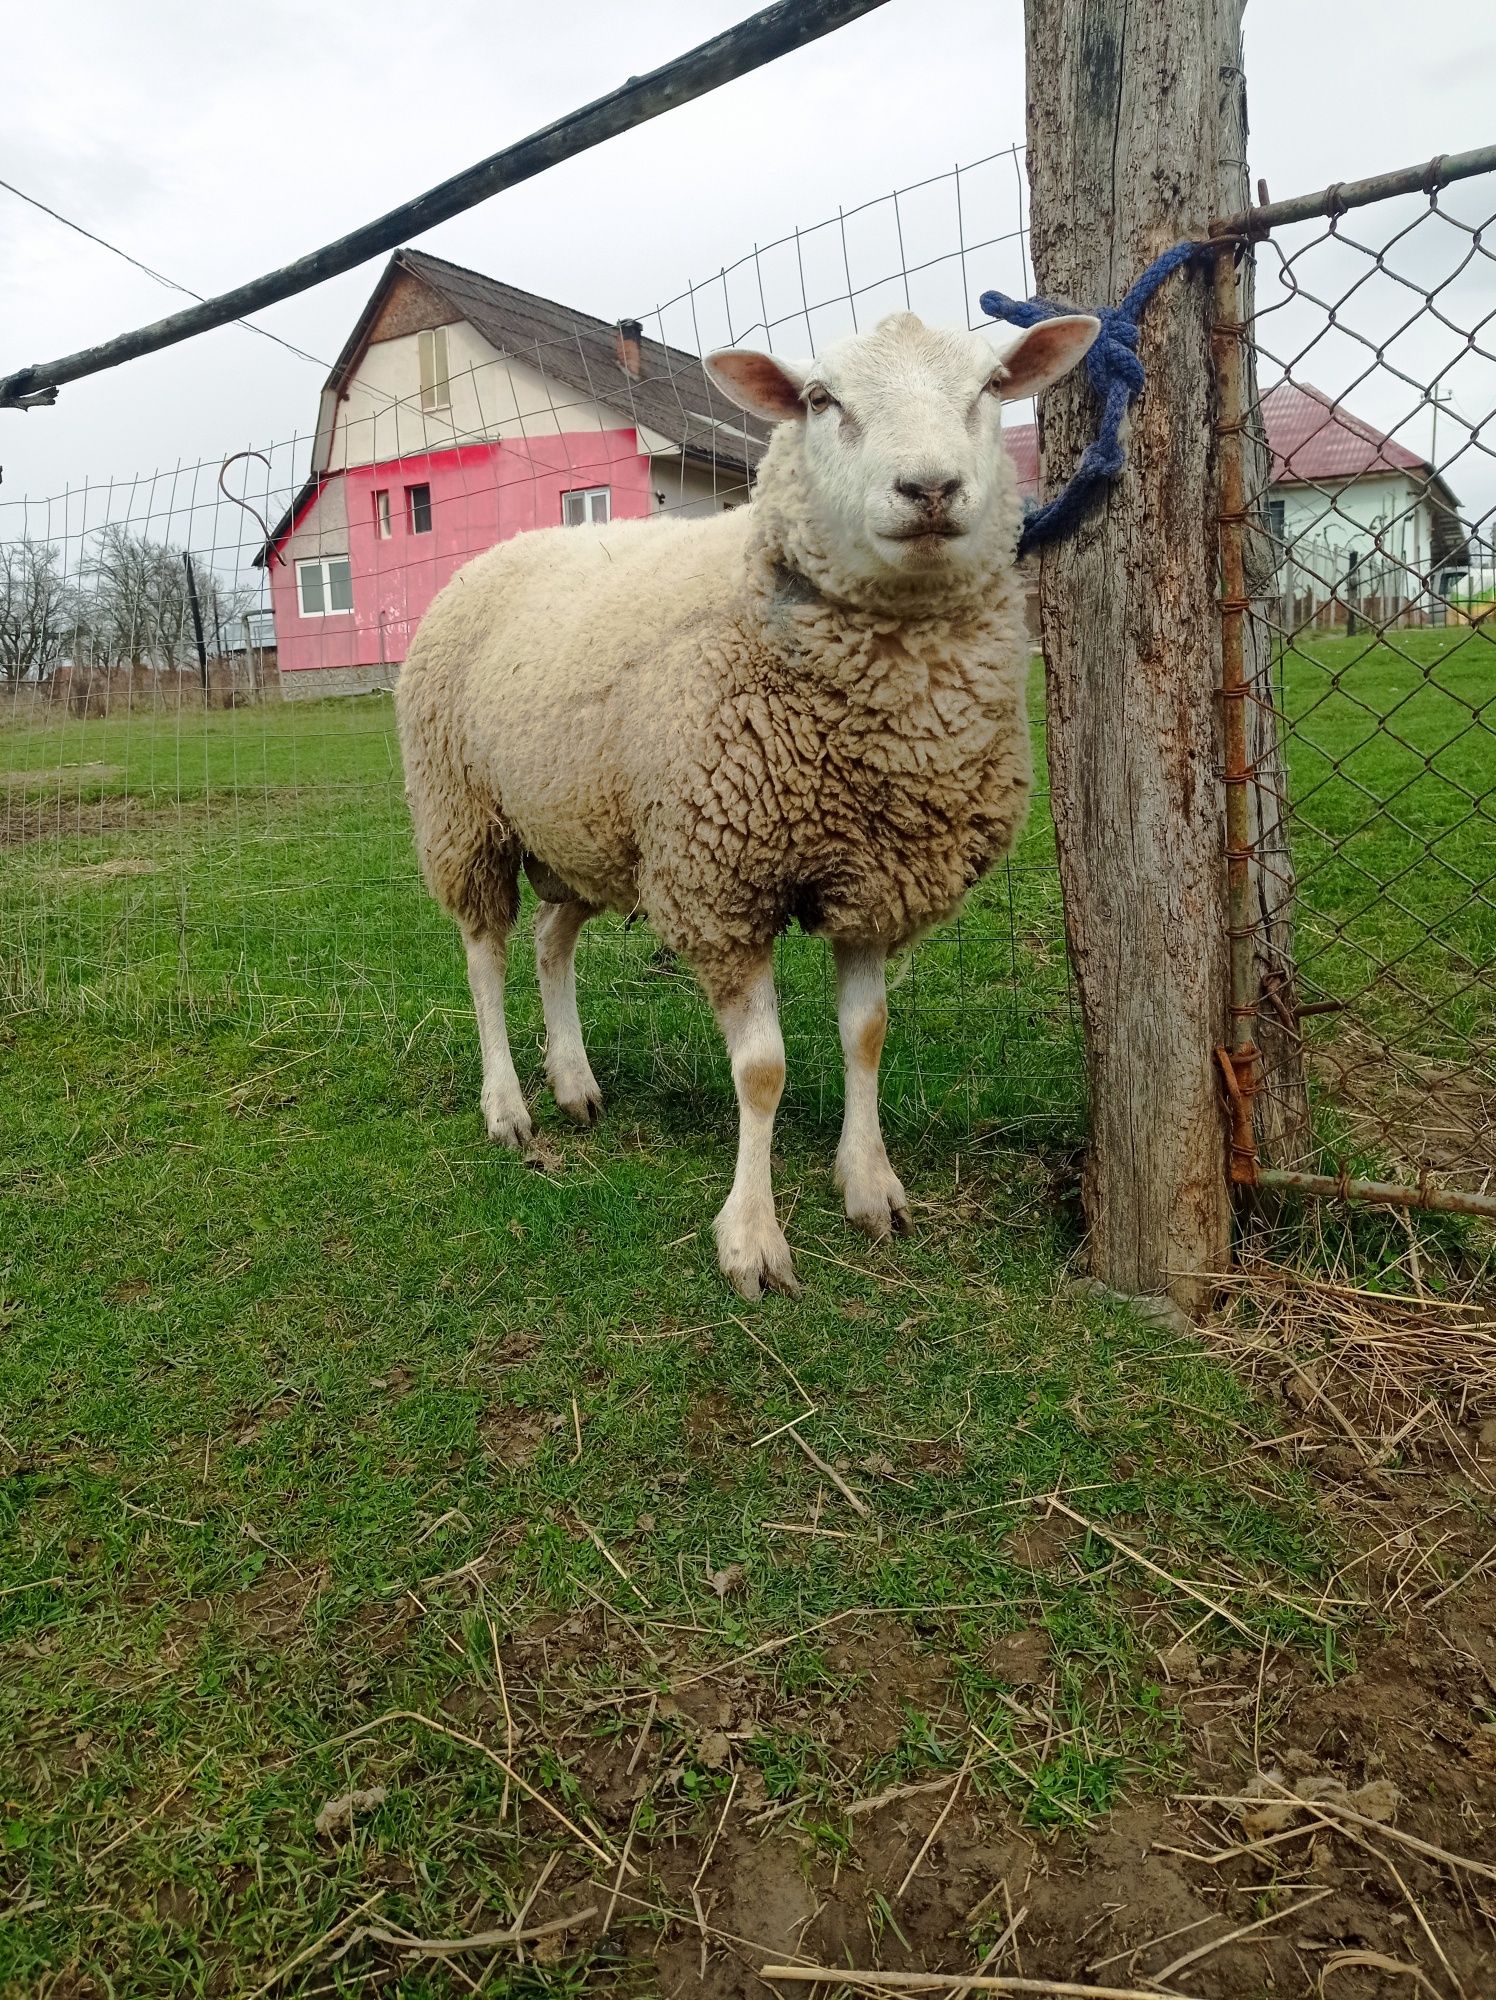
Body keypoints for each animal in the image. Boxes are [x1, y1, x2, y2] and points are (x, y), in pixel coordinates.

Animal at [398, 308, 1096, 1296]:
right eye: (821, 399)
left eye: (993, 386)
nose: (929, 488)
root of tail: (496, 551)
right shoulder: (720, 882)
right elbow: (762, 1071)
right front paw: (753, 1239)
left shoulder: (871, 876)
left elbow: (867, 1033)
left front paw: (869, 1184)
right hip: (466, 816)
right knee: (485, 956)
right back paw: (507, 1106)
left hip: (583, 827)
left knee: (549, 941)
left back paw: (574, 1082)